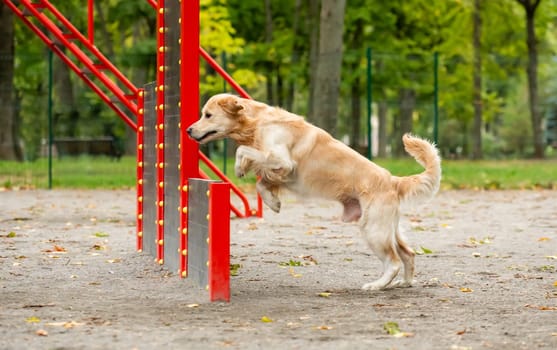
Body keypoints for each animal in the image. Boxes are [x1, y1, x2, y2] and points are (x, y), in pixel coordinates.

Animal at [189, 93, 440, 290]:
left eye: (208, 115)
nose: (189, 130)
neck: (258, 123)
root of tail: (393, 180)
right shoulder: (279, 169)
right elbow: (261, 182)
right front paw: (273, 202)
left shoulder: (283, 160)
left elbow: (243, 150)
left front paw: (240, 168)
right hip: (388, 228)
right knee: (409, 254)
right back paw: (404, 283)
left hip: (373, 230)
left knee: (393, 261)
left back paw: (376, 285)